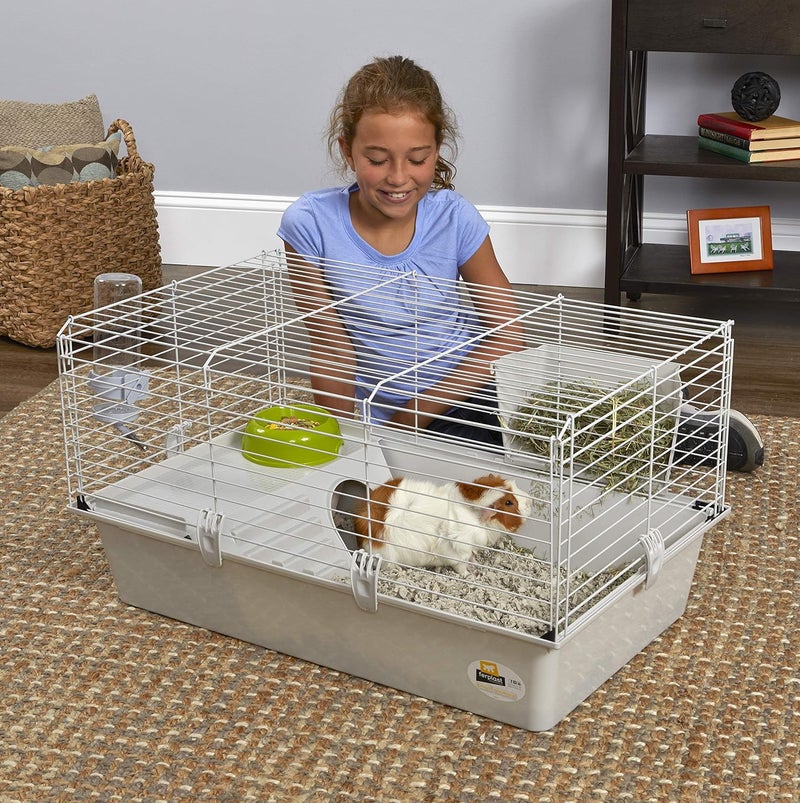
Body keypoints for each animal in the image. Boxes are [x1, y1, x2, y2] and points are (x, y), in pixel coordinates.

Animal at [353, 474, 532, 575]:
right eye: (509, 502)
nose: (530, 501)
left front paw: (476, 564)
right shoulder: (459, 554)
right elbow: (461, 567)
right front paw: (468, 574)